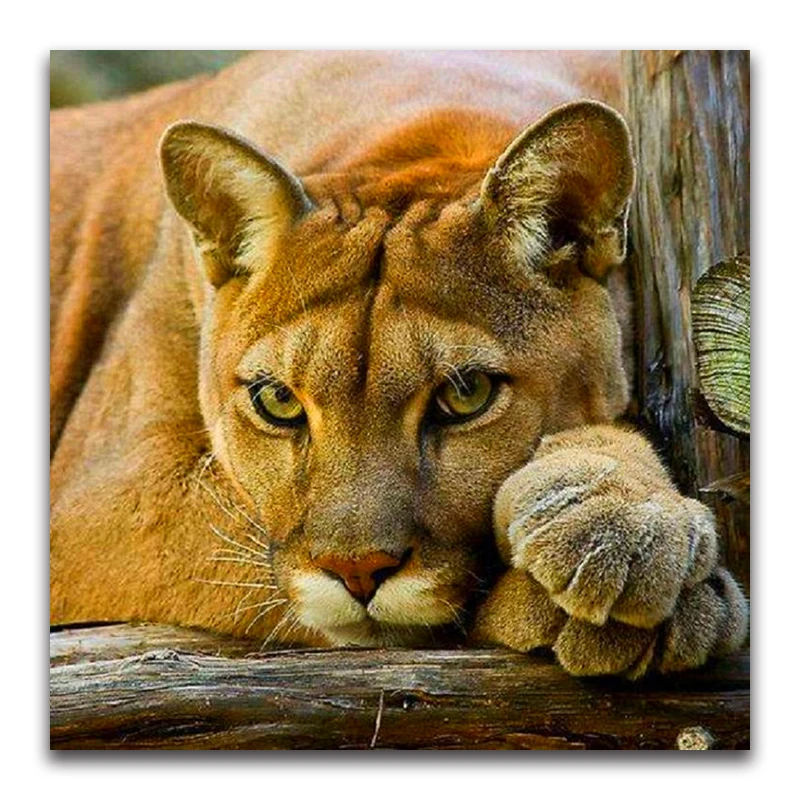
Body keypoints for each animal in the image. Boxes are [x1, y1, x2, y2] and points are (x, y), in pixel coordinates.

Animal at [50, 51, 748, 678]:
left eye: (465, 395)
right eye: (277, 400)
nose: (357, 571)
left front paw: (617, 511)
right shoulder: (104, 497)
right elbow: (248, 556)